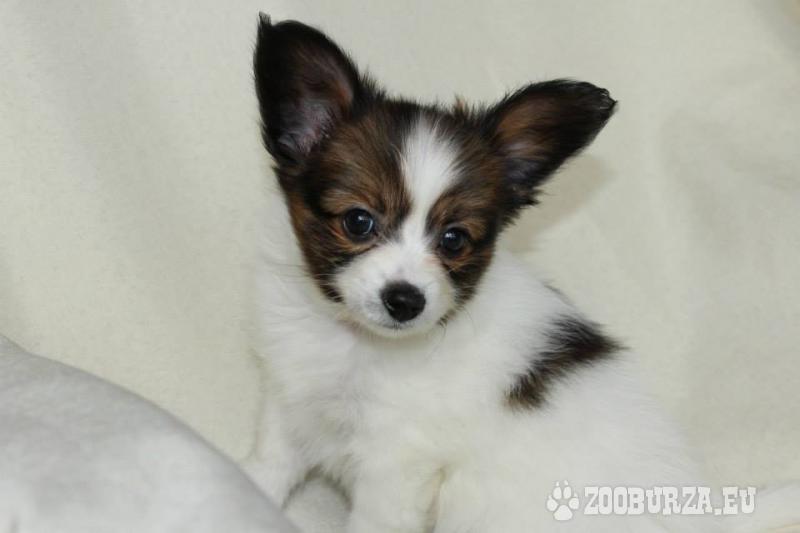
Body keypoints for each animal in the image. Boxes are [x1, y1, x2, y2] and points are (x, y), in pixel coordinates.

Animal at [243, 15, 794, 532]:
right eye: (359, 222)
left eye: (454, 240)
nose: (405, 301)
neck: (351, 342)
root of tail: (708, 519)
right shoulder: (288, 403)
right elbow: (266, 469)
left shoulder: (396, 463)